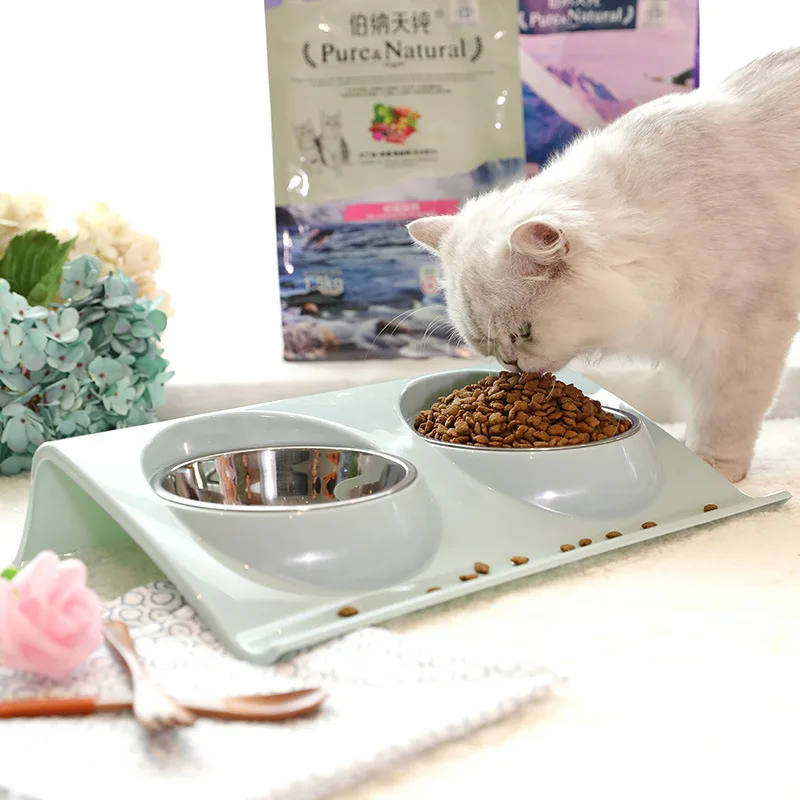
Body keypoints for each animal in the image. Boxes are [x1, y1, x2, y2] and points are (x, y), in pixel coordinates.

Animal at [407, 48, 800, 483]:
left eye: (523, 333)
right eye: (484, 344)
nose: (511, 364)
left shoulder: (741, 337)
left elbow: (723, 417)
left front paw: (714, 467)